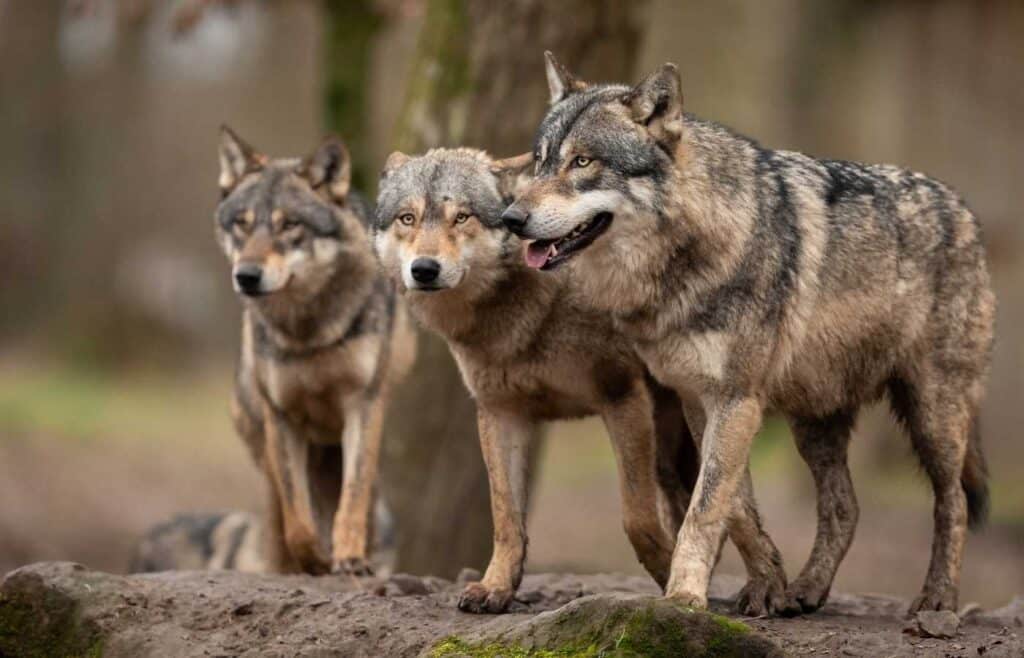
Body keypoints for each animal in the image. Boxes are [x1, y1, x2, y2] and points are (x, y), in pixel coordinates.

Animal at [214, 127, 413, 577]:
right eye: (242, 225)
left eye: (290, 225)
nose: (246, 276)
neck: (308, 331)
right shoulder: (283, 418)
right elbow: (298, 524)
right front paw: (316, 562)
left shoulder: (362, 406)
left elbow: (352, 501)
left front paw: (350, 558)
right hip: (269, 450)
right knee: (279, 521)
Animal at [372, 146, 786, 613]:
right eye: (407, 218)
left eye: (462, 217)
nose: (424, 269)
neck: (526, 310)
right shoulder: (500, 413)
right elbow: (506, 517)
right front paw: (497, 587)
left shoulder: (621, 397)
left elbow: (637, 519)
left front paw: (670, 585)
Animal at [507, 52, 995, 618]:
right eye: (540, 161)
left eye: (583, 163)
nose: (511, 217)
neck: (687, 255)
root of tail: (964, 209)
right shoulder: (700, 399)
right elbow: (735, 504)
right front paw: (768, 584)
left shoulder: (737, 399)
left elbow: (705, 508)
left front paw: (684, 597)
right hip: (816, 421)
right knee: (845, 507)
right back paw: (807, 590)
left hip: (932, 415)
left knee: (952, 502)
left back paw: (937, 600)